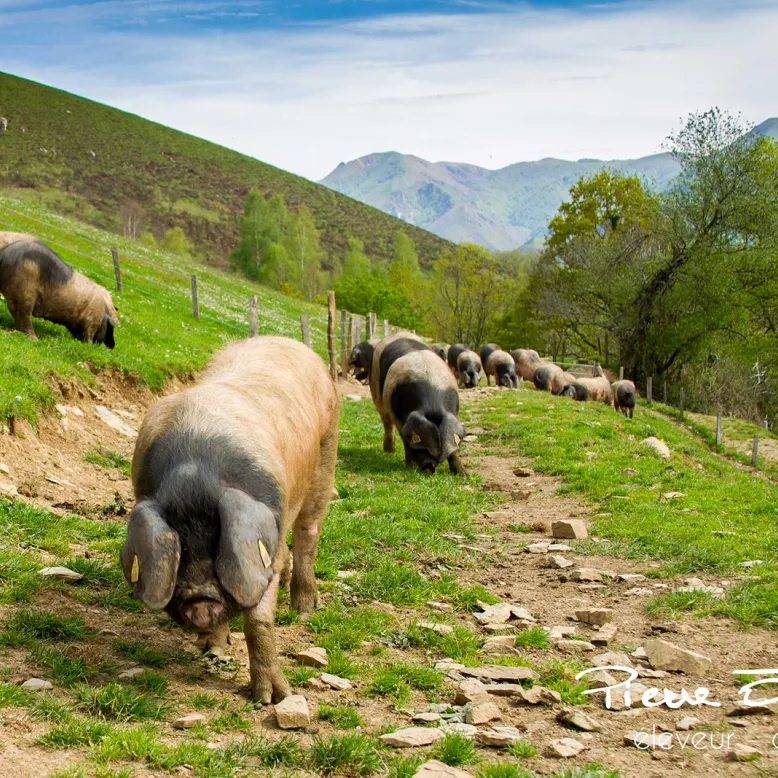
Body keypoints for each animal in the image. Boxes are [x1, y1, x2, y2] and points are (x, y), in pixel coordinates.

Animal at [121, 336, 339, 704]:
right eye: (180, 550)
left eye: (217, 541)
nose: (201, 601)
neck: (193, 476)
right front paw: (213, 650)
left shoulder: (266, 550)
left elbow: (258, 620)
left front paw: (272, 698)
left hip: (326, 456)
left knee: (308, 534)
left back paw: (304, 610)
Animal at [369, 331, 465, 475]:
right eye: (421, 445)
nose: (429, 467)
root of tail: (397, 333)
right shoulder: (398, 416)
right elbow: (405, 440)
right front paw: (410, 465)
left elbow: (453, 442)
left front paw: (463, 474)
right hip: (376, 388)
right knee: (386, 422)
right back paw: (389, 451)